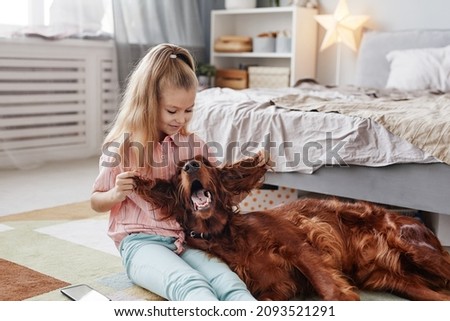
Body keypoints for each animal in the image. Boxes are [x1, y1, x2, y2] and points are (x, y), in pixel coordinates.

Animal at [134, 152, 450, 300]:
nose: (191, 167)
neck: (227, 236)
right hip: (394, 281)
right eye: (178, 172)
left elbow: (330, 289)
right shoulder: (274, 289)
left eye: (205, 163)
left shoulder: (300, 247)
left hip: (416, 249)